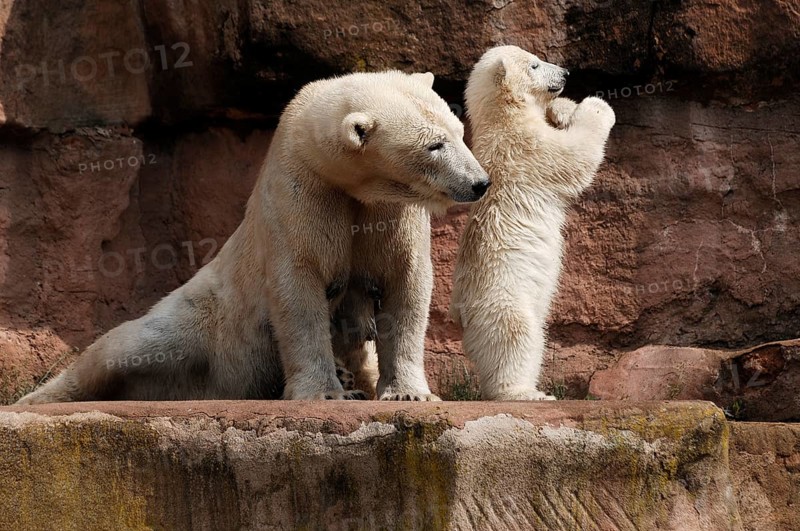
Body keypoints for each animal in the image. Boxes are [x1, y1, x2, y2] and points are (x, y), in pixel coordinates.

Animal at [17, 70, 490, 404]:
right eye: (434, 145)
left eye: (458, 130)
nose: (480, 182)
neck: (347, 181)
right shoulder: (300, 192)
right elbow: (299, 289)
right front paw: (324, 392)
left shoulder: (390, 212)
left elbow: (405, 283)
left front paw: (410, 391)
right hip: (208, 316)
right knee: (129, 345)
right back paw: (38, 397)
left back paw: (352, 378)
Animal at [449, 45, 615, 401]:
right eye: (535, 65)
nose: (566, 73)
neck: (504, 117)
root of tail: (462, 317)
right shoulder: (526, 149)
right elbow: (574, 157)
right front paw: (596, 105)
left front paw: (564, 109)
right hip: (503, 298)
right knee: (516, 336)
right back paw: (525, 392)